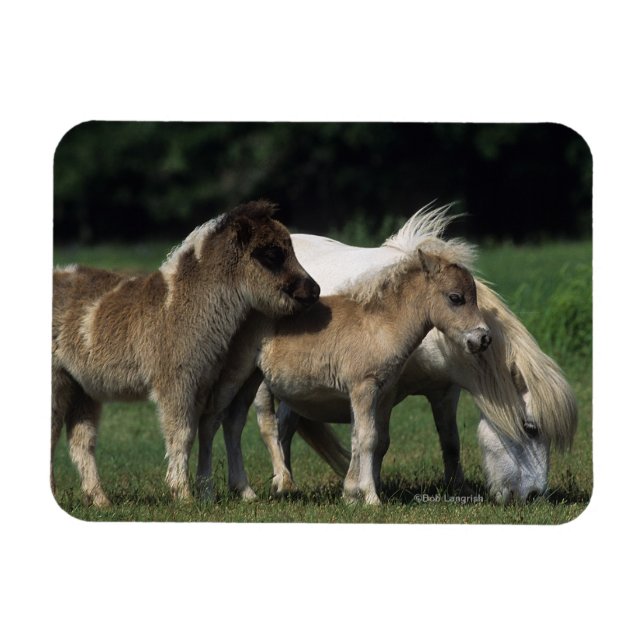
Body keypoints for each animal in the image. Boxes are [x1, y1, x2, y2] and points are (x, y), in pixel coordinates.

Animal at [51, 200, 320, 506]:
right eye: (272, 253)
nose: (314, 290)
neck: (180, 305)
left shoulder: (201, 383)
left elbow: (197, 430)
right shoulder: (175, 382)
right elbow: (181, 433)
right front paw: (183, 495)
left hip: (82, 387)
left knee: (81, 442)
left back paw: (100, 499)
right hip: (57, 380)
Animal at [199, 239, 491, 505]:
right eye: (455, 298)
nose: (483, 339)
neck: (379, 326)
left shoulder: (378, 394)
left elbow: (361, 439)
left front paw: (351, 494)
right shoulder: (364, 387)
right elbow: (368, 439)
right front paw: (371, 498)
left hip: (252, 379)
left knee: (234, 422)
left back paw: (245, 491)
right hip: (238, 375)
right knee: (220, 420)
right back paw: (215, 490)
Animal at [272, 205, 577, 503]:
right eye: (530, 428)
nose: (534, 496)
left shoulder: (446, 391)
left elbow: (450, 441)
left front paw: (460, 490)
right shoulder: (383, 391)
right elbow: (377, 441)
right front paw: (366, 490)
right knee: (280, 427)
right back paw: (284, 483)